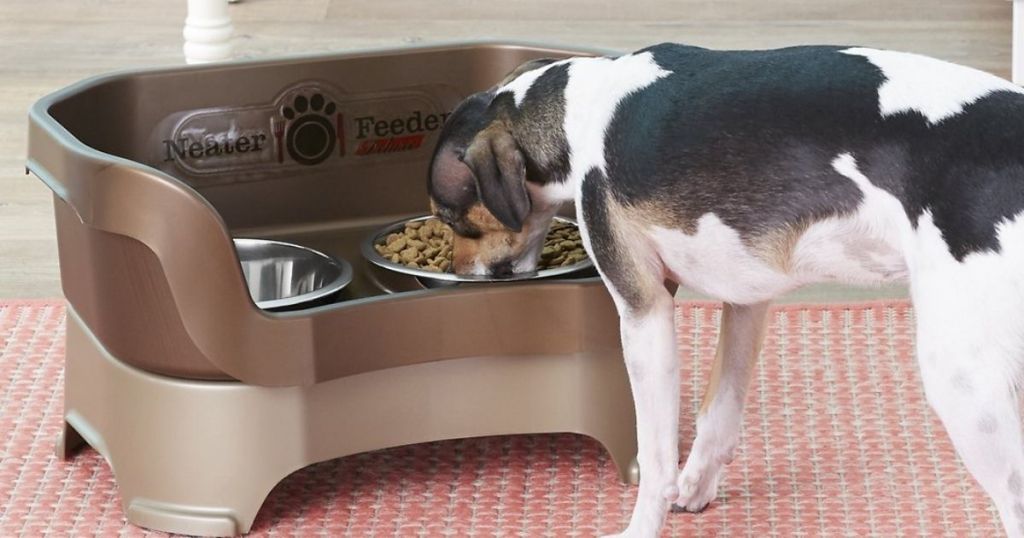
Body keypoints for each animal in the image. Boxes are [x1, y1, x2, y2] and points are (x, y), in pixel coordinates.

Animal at [428, 43, 1024, 536]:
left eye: (453, 220)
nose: (460, 276)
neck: (581, 113)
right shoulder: (747, 302)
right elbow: (718, 413)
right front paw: (696, 488)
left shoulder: (644, 314)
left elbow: (656, 457)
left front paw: (645, 522)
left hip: (965, 384)